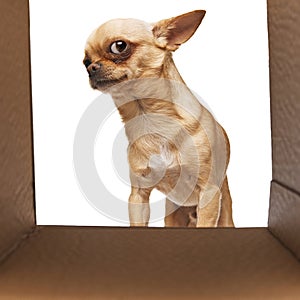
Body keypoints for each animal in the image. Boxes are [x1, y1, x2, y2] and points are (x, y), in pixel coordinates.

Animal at [84, 11, 234, 227]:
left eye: (119, 46)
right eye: (85, 61)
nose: (91, 68)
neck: (149, 118)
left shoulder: (209, 194)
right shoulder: (138, 196)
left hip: (224, 213)